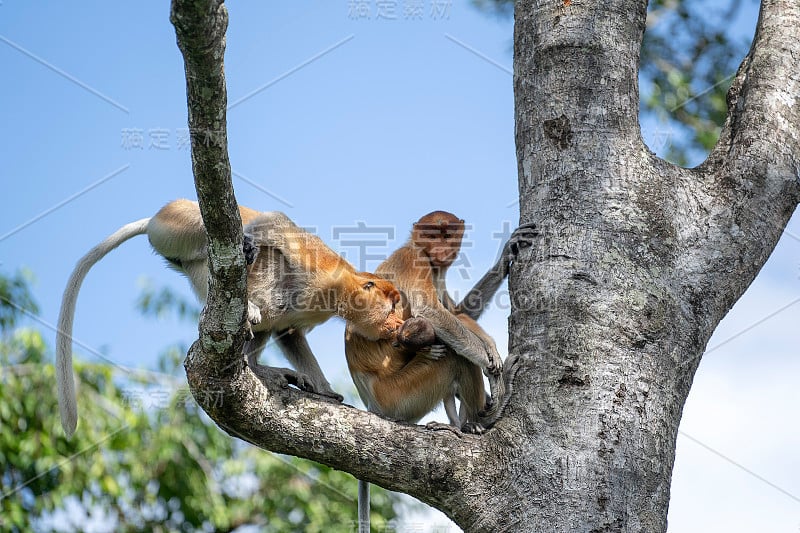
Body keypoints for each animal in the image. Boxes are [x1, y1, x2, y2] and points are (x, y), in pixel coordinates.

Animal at [56, 200, 406, 436]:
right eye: (392, 306)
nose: (397, 324)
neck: (343, 288)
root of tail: (157, 216)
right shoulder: (317, 265)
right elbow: (272, 224)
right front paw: (251, 241)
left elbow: (288, 332)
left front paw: (324, 390)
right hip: (180, 225)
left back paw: (257, 365)